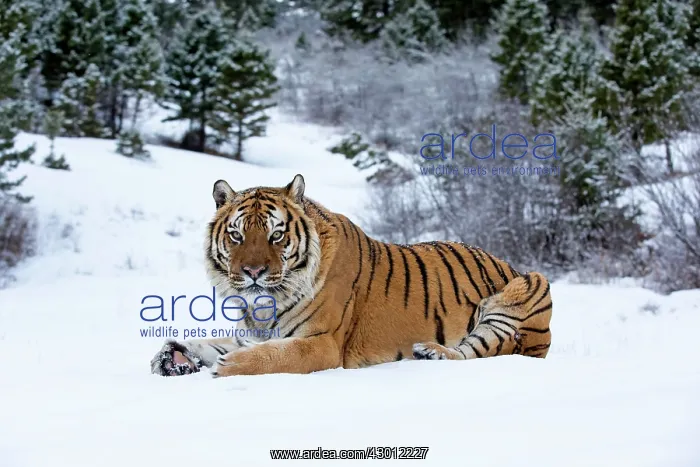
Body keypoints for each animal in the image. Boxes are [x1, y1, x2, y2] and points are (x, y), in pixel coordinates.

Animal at [150, 174, 553, 377]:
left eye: (275, 235)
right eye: (236, 235)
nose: (252, 272)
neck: (264, 303)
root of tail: (511, 264)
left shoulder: (323, 343)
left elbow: (274, 356)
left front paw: (230, 366)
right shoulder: (254, 332)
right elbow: (213, 342)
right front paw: (174, 356)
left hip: (526, 291)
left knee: (473, 354)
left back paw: (431, 352)